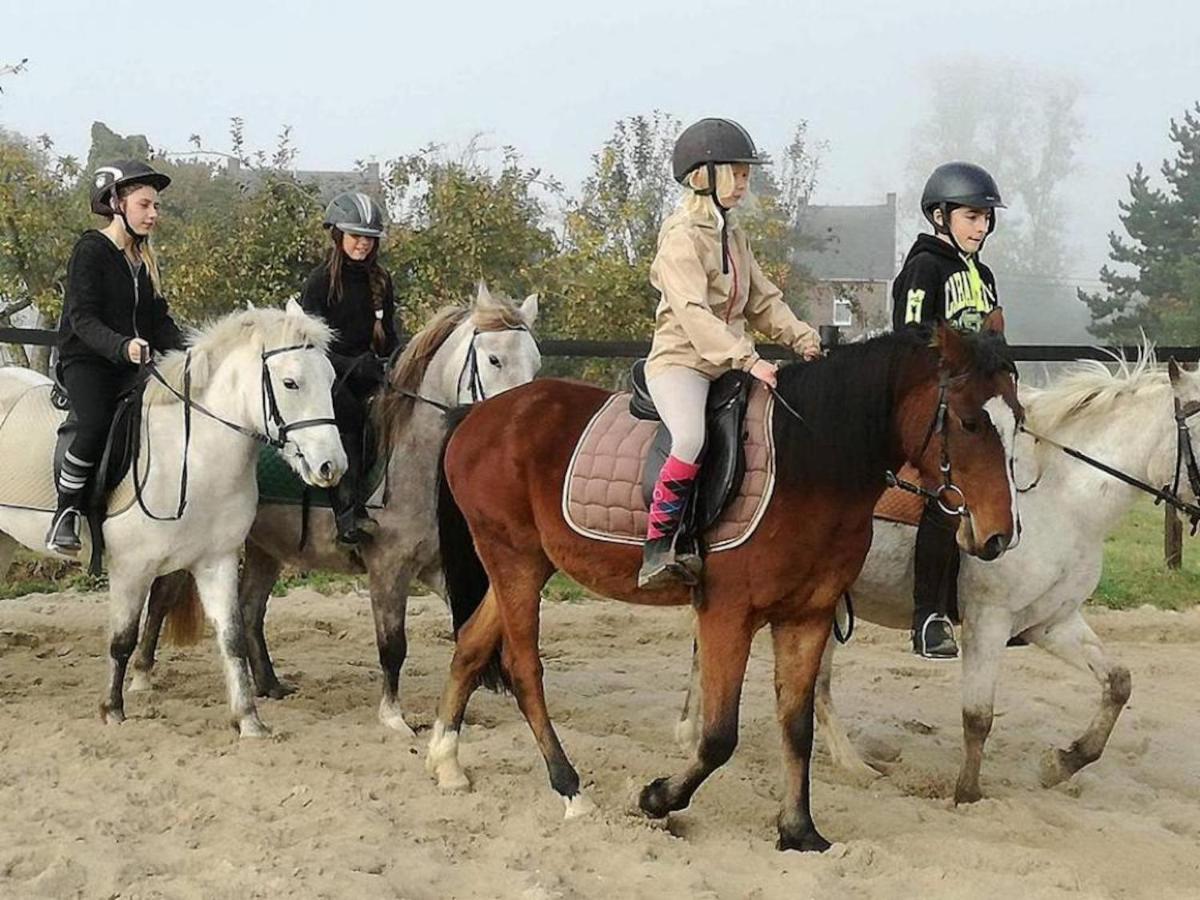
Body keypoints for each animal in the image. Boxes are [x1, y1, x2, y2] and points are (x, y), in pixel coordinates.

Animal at [0, 303, 348, 739]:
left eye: (331, 379)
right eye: (290, 382)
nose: (331, 466)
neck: (191, 454)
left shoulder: (216, 562)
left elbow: (231, 638)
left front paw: (248, 720)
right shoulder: (131, 569)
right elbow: (122, 639)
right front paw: (112, 710)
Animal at [133, 283, 542, 739]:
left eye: (536, 363)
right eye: (494, 359)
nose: (520, 428)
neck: (407, 457)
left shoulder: (433, 567)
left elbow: (474, 628)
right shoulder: (388, 567)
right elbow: (393, 644)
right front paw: (393, 716)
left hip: (265, 550)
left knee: (250, 610)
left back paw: (269, 685)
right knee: (164, 598)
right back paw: (142, 677)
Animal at [427, 314, 1017, 854]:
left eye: (1018, 422)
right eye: (969, 422)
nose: (997, 536)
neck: (811, 460)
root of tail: (481, 414)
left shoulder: (807, 616)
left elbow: (796, 726)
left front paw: (799, 832)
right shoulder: (727, 614)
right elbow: (717, 737)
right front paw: (657, 799)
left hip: (526, 563)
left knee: (471, 645)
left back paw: (446, 761)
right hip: (515, 562)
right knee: (524, 668)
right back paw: (570, 789)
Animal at [676, 350, 1200, 801]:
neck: (1060, 496)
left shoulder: (1051, 621)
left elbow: (1119, 682)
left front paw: (1061, 764)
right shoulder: (989, 620)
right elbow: (978, 717)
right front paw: (967, 796)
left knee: (803, 682)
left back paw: (846, 764)